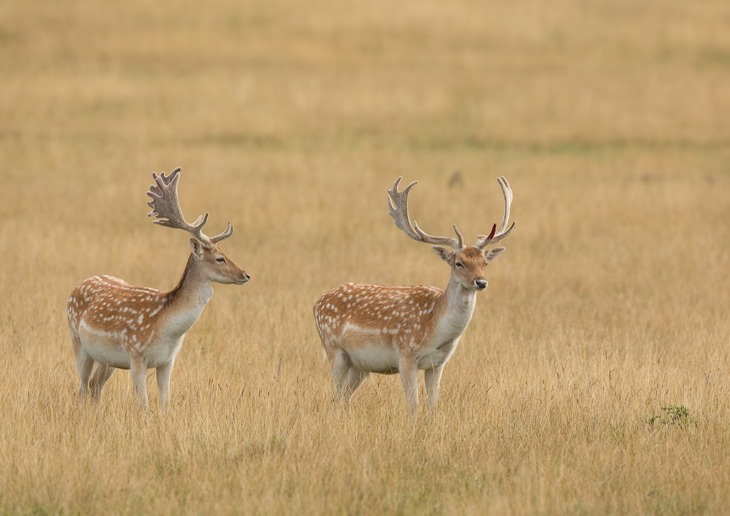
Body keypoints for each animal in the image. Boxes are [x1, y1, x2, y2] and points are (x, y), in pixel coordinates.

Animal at [68, 168, 250, 408]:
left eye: (226, 254)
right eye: (220, 258)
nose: (246, 274)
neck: (167, 329)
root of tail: (76, 288)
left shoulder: (167, 361)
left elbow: (165, 402)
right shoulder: (136, 354)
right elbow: (143, 404)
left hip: (107, 360)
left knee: (94, 385)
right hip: (77, 341)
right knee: (81, 387)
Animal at [312, 176, 512, 412]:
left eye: (485, 263)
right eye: (459, 263)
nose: (481, 282)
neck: (436, 328)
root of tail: (317, 303)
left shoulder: (438, 363)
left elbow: (433, 404)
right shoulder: (406, 355)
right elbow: (414, 404)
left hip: (359, 365)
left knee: (343, 398)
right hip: (334, 348)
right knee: (335, 395)